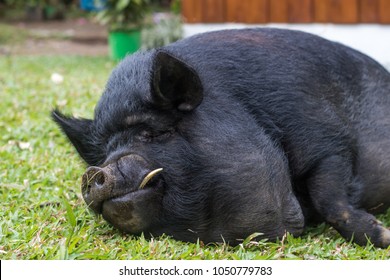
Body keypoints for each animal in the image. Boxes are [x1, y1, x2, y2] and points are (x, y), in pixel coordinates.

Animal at [52, 27, 390, 247]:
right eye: (106, 151)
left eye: (153, 133)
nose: (94, 172)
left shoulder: (328, 140)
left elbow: (330, 196)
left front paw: (383, 237)